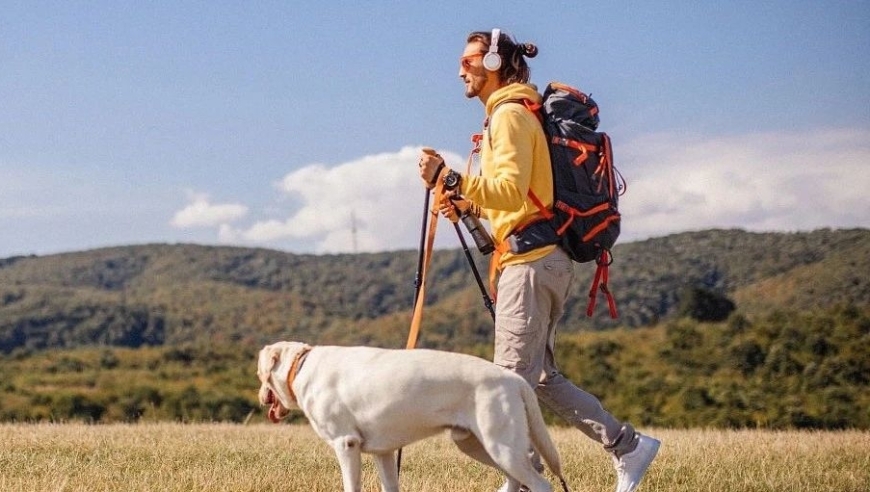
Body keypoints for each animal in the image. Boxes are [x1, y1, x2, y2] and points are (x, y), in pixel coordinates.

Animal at [255, 340, 576, 492]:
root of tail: (514, 379)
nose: (260, 397)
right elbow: (390, 485)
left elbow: (351, 485)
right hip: (478, 445)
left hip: (501, 445)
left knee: (539, 483)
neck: (300, 366)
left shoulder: (346, 444)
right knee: (514, 480)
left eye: (260, 374)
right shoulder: (383, 452)